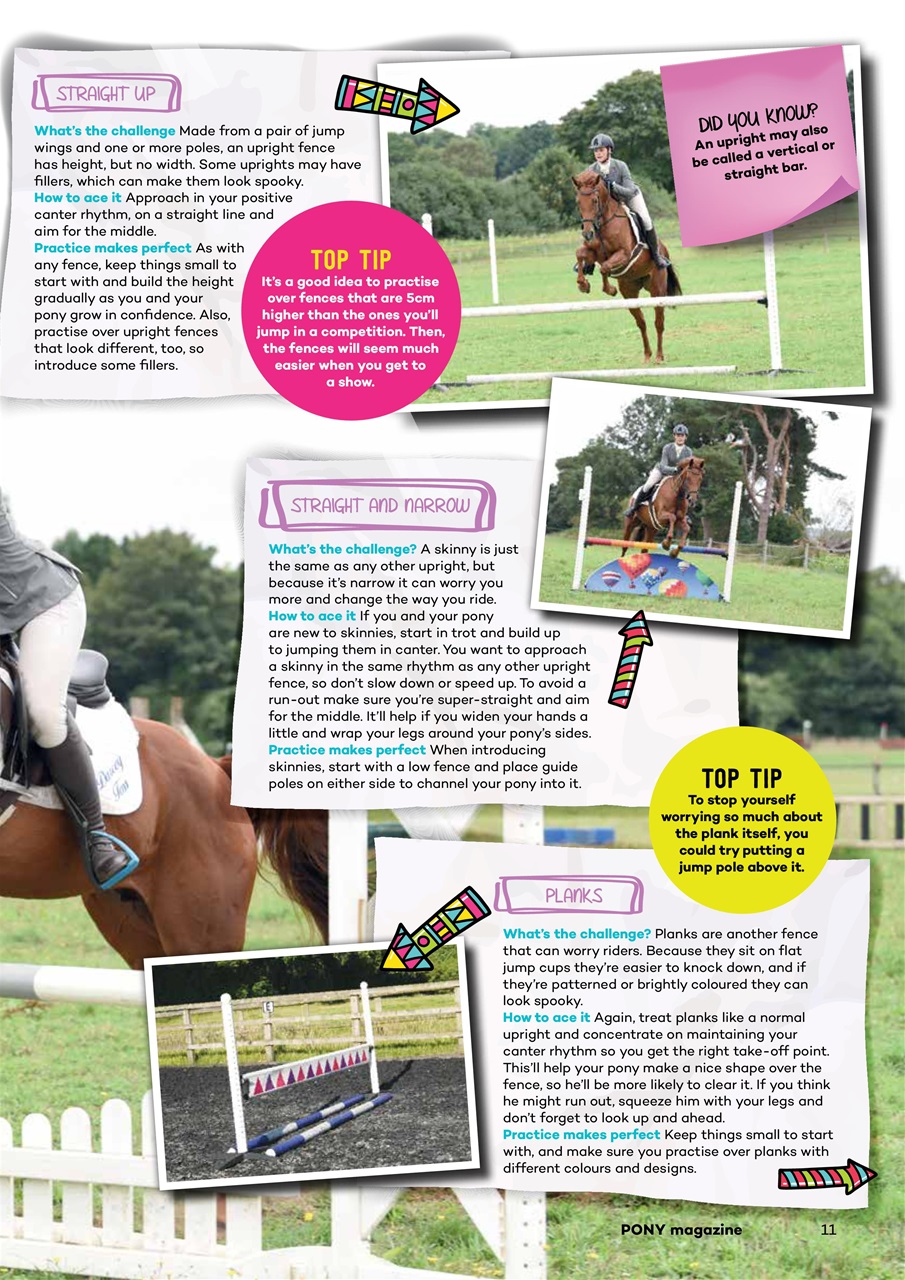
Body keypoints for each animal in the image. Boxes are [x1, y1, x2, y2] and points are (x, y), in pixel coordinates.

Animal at [572, 170, 682, 364]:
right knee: (641, 322)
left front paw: (609, 289)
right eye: (578, 202)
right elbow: (581, 253)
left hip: (657, 290)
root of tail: (664, 250)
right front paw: (583, 284)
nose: (587, 233)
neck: (603, 223)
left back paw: (659, 356)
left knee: (658, 322)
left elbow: (605, 267)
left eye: (594, 200)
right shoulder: (593, 252)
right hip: (630, 292)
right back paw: (647, 355)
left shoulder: (624, 254)